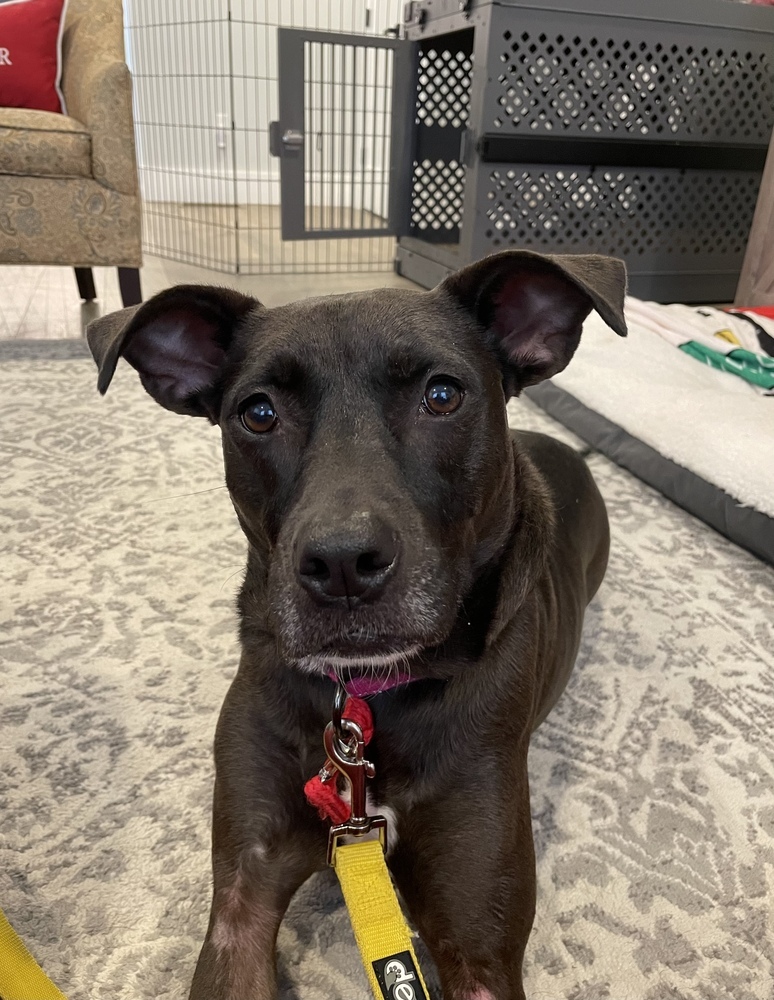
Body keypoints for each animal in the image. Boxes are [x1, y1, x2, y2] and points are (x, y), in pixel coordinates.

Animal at [88, 250, 628, 1000]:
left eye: (442, 395)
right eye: (258, 413)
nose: (343, 562)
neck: (364, 698)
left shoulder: (480, 946)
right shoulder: (241, 897)